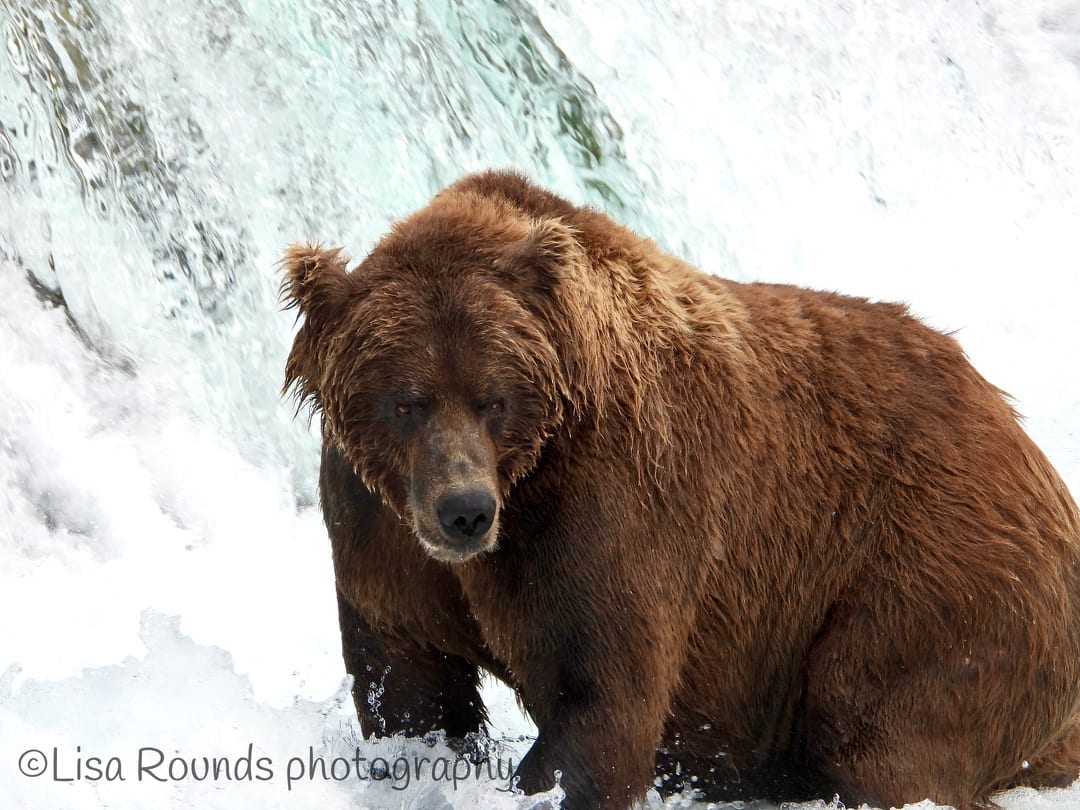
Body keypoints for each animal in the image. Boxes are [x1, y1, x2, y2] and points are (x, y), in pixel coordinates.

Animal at [280, 170, 1080, 810]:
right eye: (405, 401)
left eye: (493, 399)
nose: (465, 512)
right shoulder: (380, 529)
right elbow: (409, 683)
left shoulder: (611, 503)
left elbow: (604, 695)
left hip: (935, 579)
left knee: (884, 739)